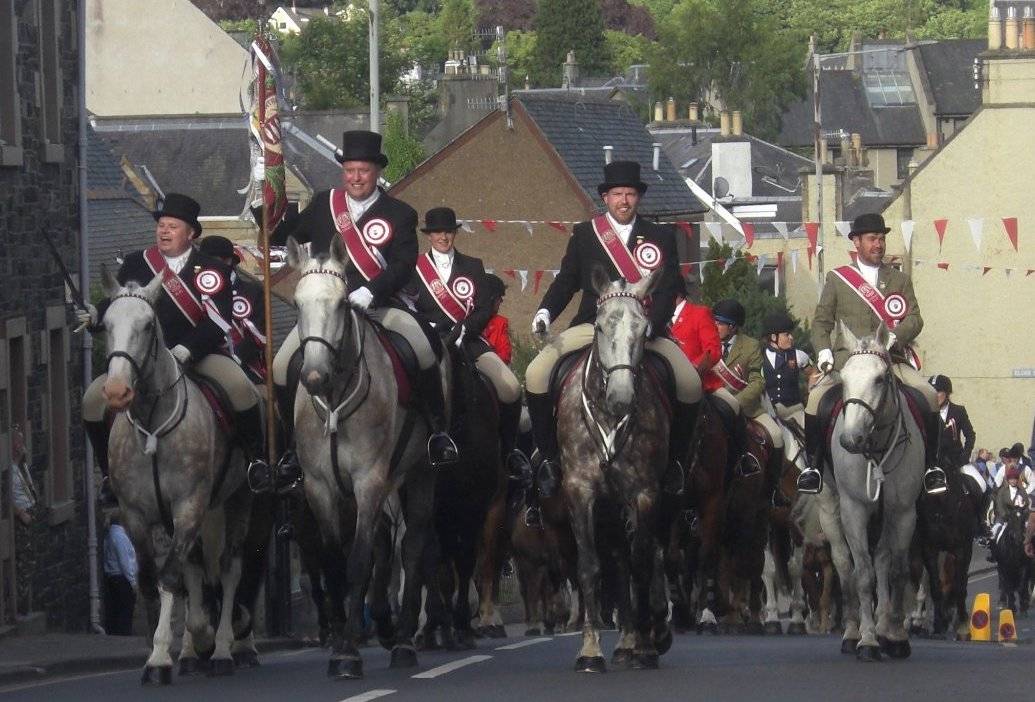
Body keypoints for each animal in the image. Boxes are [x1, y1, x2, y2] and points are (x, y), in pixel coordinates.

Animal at [98, 271, 252, 683]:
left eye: (148, 326)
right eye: (106, 324)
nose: (117, 391)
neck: (153, 424)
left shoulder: (189, 506)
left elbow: (170, 578)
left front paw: (165, 655)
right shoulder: (136, 515)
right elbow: (153, 580)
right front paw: (162, 649)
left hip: (240, 501)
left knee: (229, 569)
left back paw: (222, 650)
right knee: (196, 568)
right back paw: (193, 650)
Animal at [285, 238, 438, 683]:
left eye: (340, 304)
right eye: (297, 303)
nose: (313, 377)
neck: (335, 399)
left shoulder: (368, 481)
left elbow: (358, 563)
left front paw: (349, 653)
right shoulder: (319, 488)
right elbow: (335, 563)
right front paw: (339, 643)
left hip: (418, 476)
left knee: (411, 548)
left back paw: (403, 642)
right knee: (386, 549)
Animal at [558, 271, 670, 675]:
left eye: (643, 328)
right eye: (601, 327)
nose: (622, 396)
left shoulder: (645, 493)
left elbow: (641, 563)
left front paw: (645, 647)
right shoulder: (580, 492)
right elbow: (590, 567)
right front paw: (590, 651)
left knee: (645, 556)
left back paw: (644, 636)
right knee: (618, 561)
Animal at [815, 320, 923, 662]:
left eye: (880, 378)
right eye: (845, 378)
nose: (851, 440)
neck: (876, 447)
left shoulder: (903, 512)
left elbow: (898, 570)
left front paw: (895, 636)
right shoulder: (854, 509)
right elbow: (861, 574)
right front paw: (867, 640)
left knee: (883, 560)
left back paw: (884, 625)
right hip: (830, 508)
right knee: (843, 565)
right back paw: (852, 632)